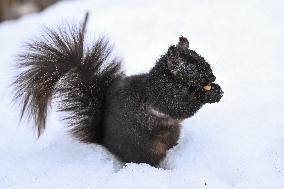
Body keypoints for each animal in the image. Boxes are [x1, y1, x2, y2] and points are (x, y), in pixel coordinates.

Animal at [11, 17, 224, 166]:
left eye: (202, 58)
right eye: (191, 69)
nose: (212, 77)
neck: (171, 80)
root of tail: (105, 141)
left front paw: (217, 89)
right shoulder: (161, 96)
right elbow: (180, 107)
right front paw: (207, 94)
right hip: (145, 148)